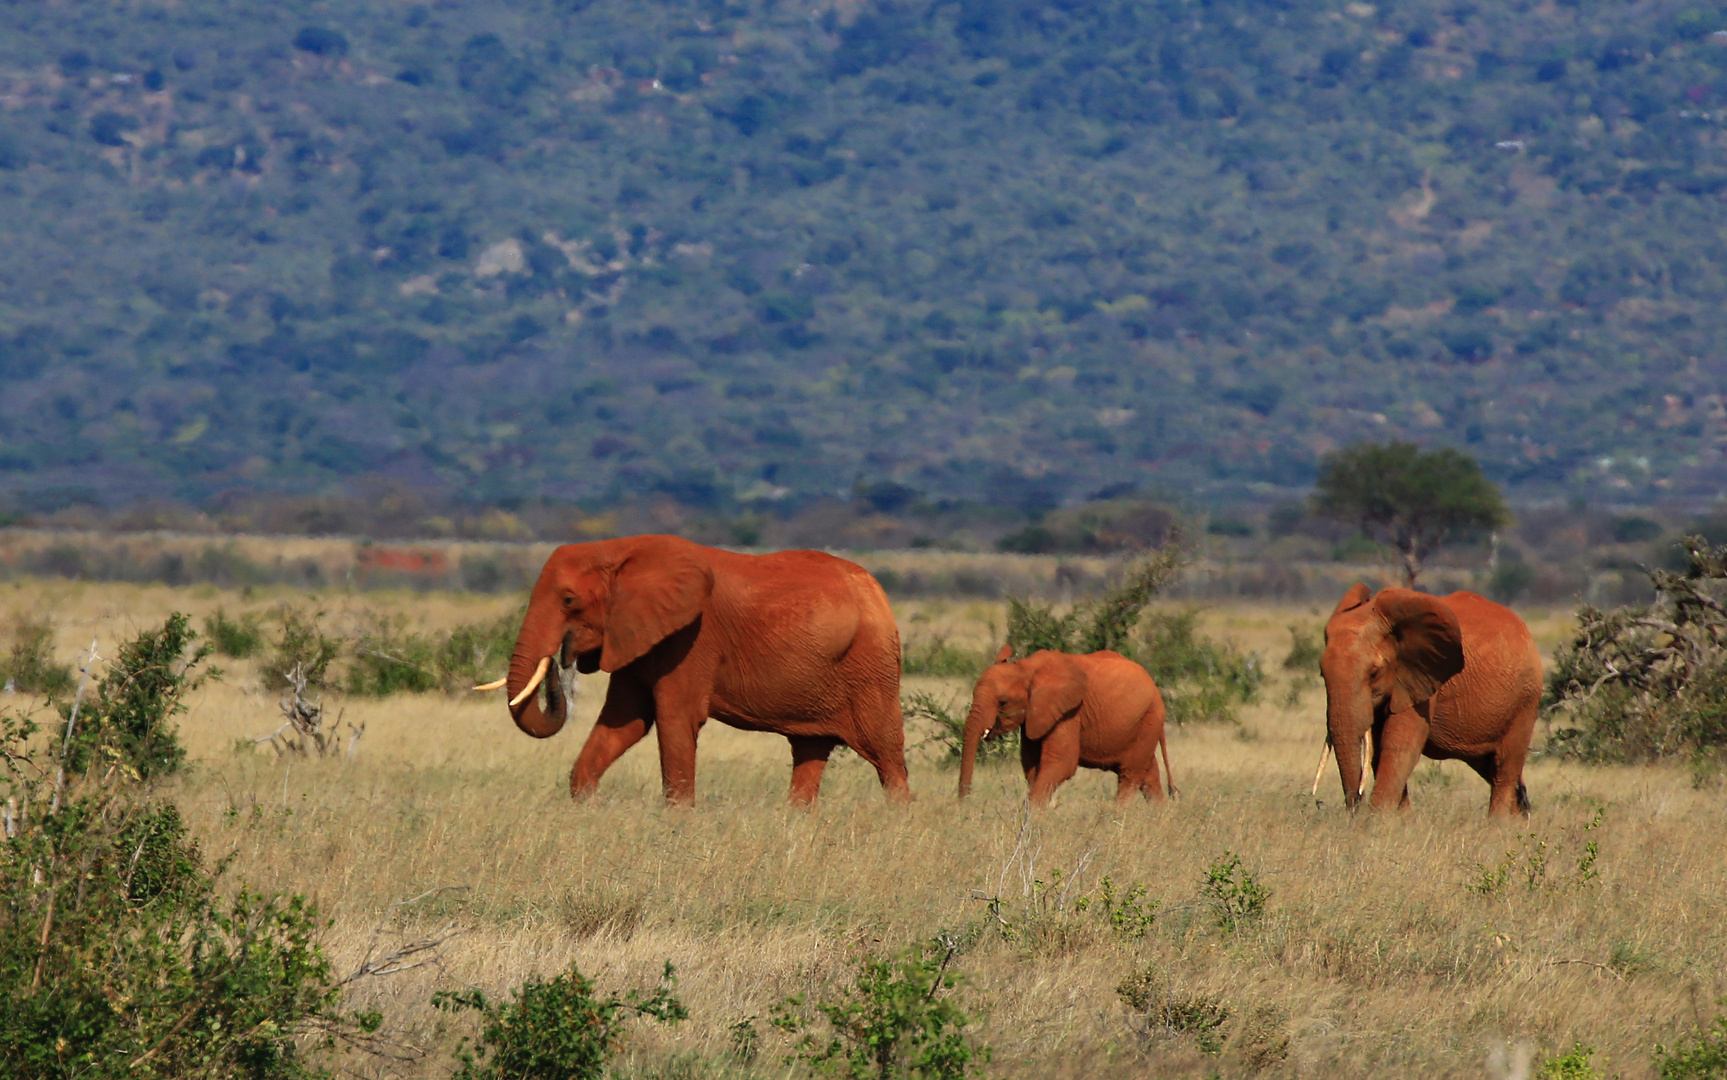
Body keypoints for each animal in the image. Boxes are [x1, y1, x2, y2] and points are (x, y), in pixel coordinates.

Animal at [490, 535, 911, 805]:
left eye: (568, 600)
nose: (559, 657)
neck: (619, 550)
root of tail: (879, 592)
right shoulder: (636, 636)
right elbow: (624, 722)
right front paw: (587, 806)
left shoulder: (692, 639)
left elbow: (674, 720)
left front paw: (678, 825)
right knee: (810, 752)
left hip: (872, 665)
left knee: (887, 756)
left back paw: (898, 824)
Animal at [960, 642, 1174, 805]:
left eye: (1003, 702)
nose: (966, 804)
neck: (1026, 667)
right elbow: (1032, 766)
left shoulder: (1069, 712)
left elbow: (1061, 763)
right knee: (1149, 774)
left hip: (1150, 717)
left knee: (1130, 775)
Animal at [1312, 584, 1547, 812]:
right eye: (1322, 674)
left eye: (1373, 673)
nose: (1356, 806)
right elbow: (1378, 751)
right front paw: (1398, 821)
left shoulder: (1422, 680)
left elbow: (1399, 746)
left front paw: (1376, 820)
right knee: (1493, 769)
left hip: (1526, 698)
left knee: (1504, 768)